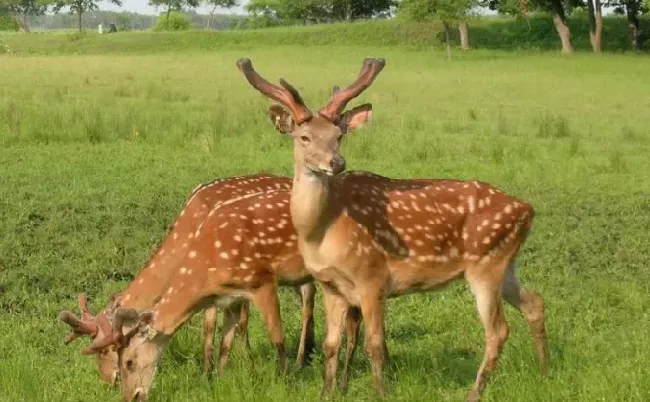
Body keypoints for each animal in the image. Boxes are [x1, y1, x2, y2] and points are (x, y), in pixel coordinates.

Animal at [58, 174, 316, 386]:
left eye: (105, 350)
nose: (108, 380)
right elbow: (217, 326)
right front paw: (210, 372)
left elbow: (222, 324)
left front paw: (236, 367)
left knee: (308, 301)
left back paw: (301, 360)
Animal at [233, 57, 548, 402]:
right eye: (304, 138)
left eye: (338, 135)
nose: (336, 163)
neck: (322, 231)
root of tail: (527, 208)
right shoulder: (331, 285)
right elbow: (331, 345)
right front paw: (326, 392)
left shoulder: (372, 276)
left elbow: (374, 344)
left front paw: (381, 392)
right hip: (505, 263)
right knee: (535, 303)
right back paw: (545, 370)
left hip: (485, 264)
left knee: (498, 330)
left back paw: (474, 392)